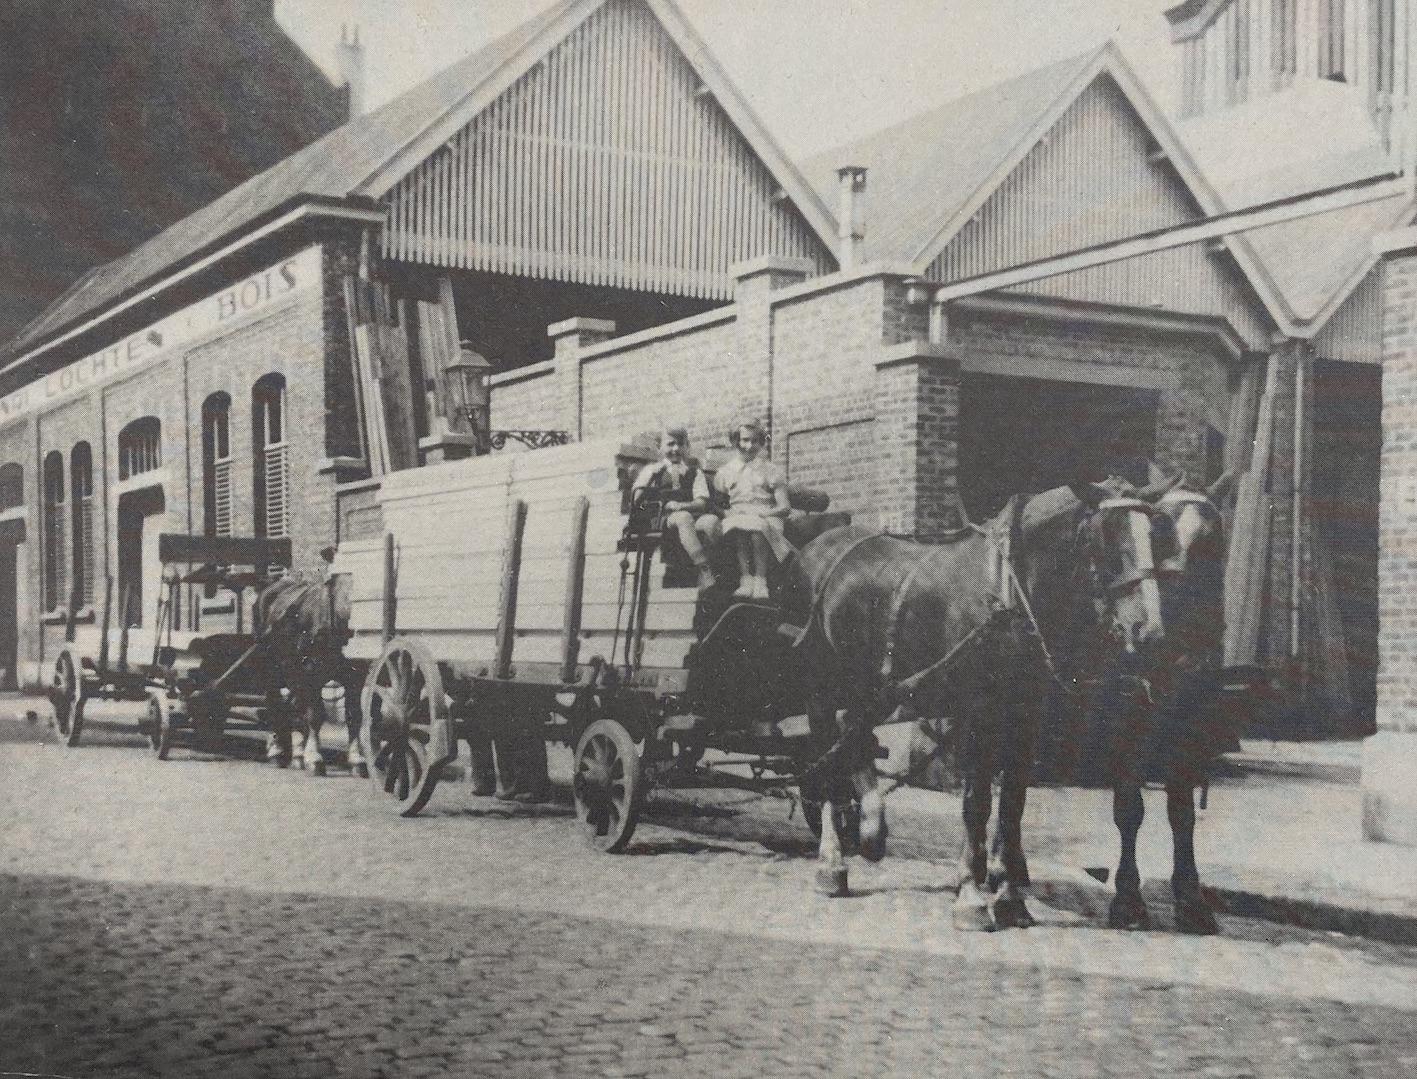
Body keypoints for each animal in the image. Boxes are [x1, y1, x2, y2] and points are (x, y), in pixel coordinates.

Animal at [787, 479, 1161, 924]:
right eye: (1107, 536)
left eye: (1156, 535)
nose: (1148, 630)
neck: (1008, 593)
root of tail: (817, 546)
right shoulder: (974, 713)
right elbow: (976, 804)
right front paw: (971, 896)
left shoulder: (1025, 716)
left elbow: (1013, 804)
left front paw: (1010, 898)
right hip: (820, 683)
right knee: (827, 752)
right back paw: (832, 863)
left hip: (869, 682)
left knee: (852, 732)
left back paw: (870, 829)